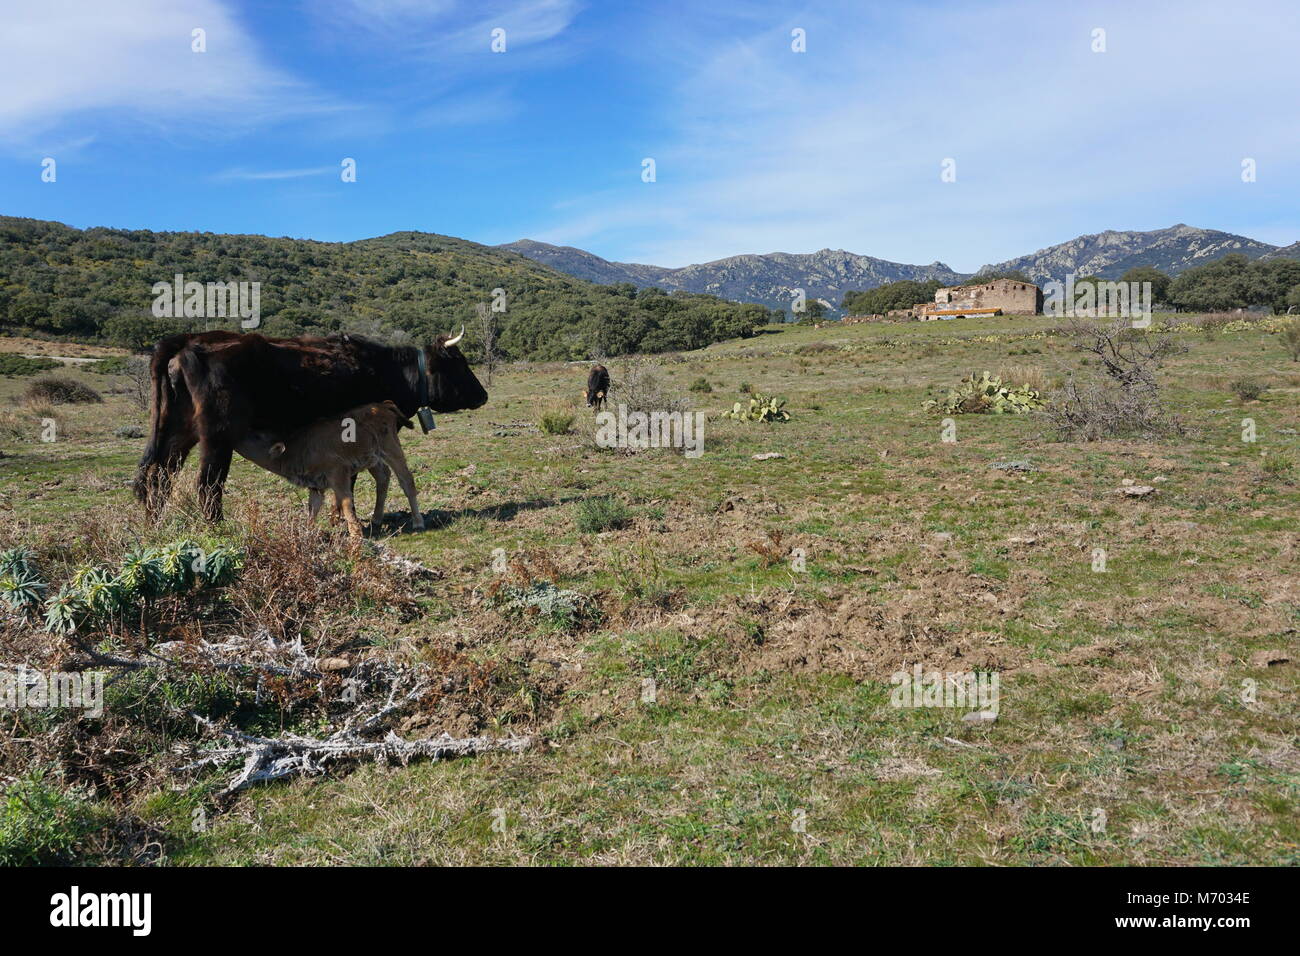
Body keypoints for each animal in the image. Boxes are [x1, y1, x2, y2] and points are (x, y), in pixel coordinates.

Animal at [134, 329, 488, 522]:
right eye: (459, 364)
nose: (483, 395)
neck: (384, 368)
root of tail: (187, 340)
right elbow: (352, 482)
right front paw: (340, 518)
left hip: (176, 435)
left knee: (157, 479)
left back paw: (153, 527)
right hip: (217, 439)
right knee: (208, 486)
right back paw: (217, 529)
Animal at [236, 403, 428, 538]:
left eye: (257, 436)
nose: (241, 433)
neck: (297, 449)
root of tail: (382, 404)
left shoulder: (338, 474)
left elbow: (346, 502)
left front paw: (355, 534)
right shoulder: (315, 485)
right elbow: (313, 508)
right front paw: (308, 532)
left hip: (391, 450)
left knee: (406, 480)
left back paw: (418, 522)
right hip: (374, 459)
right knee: (383, 477)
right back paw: (376, 518)